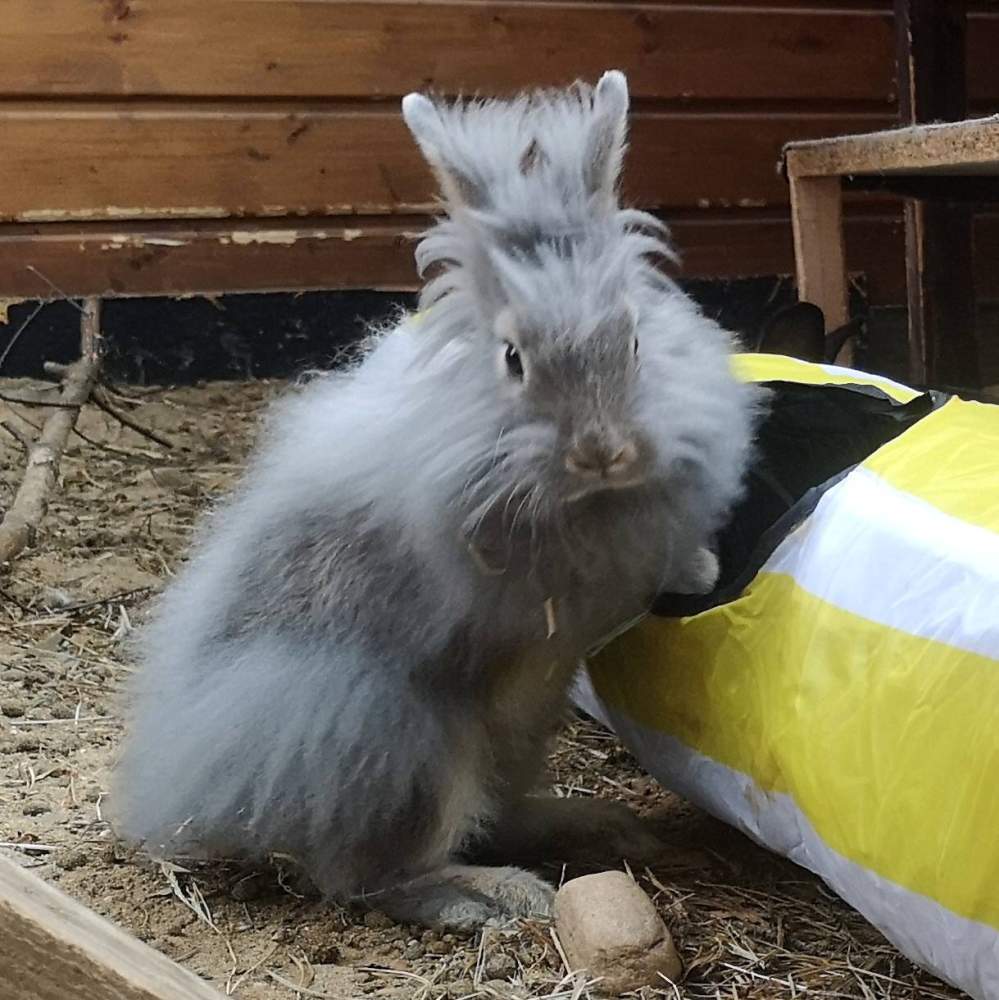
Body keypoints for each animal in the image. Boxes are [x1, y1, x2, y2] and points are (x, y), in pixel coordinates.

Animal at [111, 70, 762, 931]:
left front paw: (698, 567)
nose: (603, 451)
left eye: (629, 340)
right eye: (513, 357)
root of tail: (197, 786)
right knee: (371, 876)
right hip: (404, 742)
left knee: (491, 817)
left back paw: (597, 827)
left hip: (514, 738)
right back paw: (494, 898)